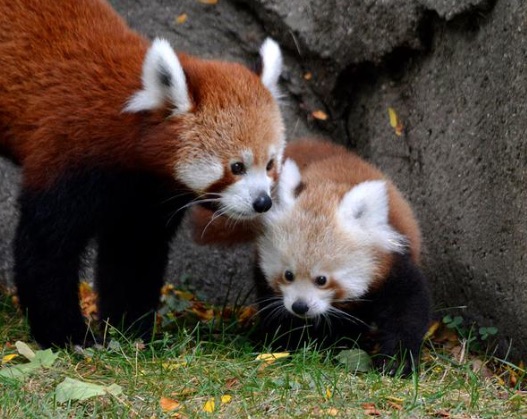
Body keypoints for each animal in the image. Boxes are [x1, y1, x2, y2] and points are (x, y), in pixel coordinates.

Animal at [0, 0, 286, 348]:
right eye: (236, 167)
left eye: (269, 164)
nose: (262, 202)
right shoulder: (69, 154)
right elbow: (46, 248)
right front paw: (69, 336)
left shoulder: (148, 196)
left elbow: (133, 255)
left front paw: (130, 331)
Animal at [192, 139, 432, 378]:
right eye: (288, 275)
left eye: (322, 280)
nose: (300, 307)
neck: (327, 187)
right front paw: (287, 345)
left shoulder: (392, 263)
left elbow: (406, 311)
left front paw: (396, 363)